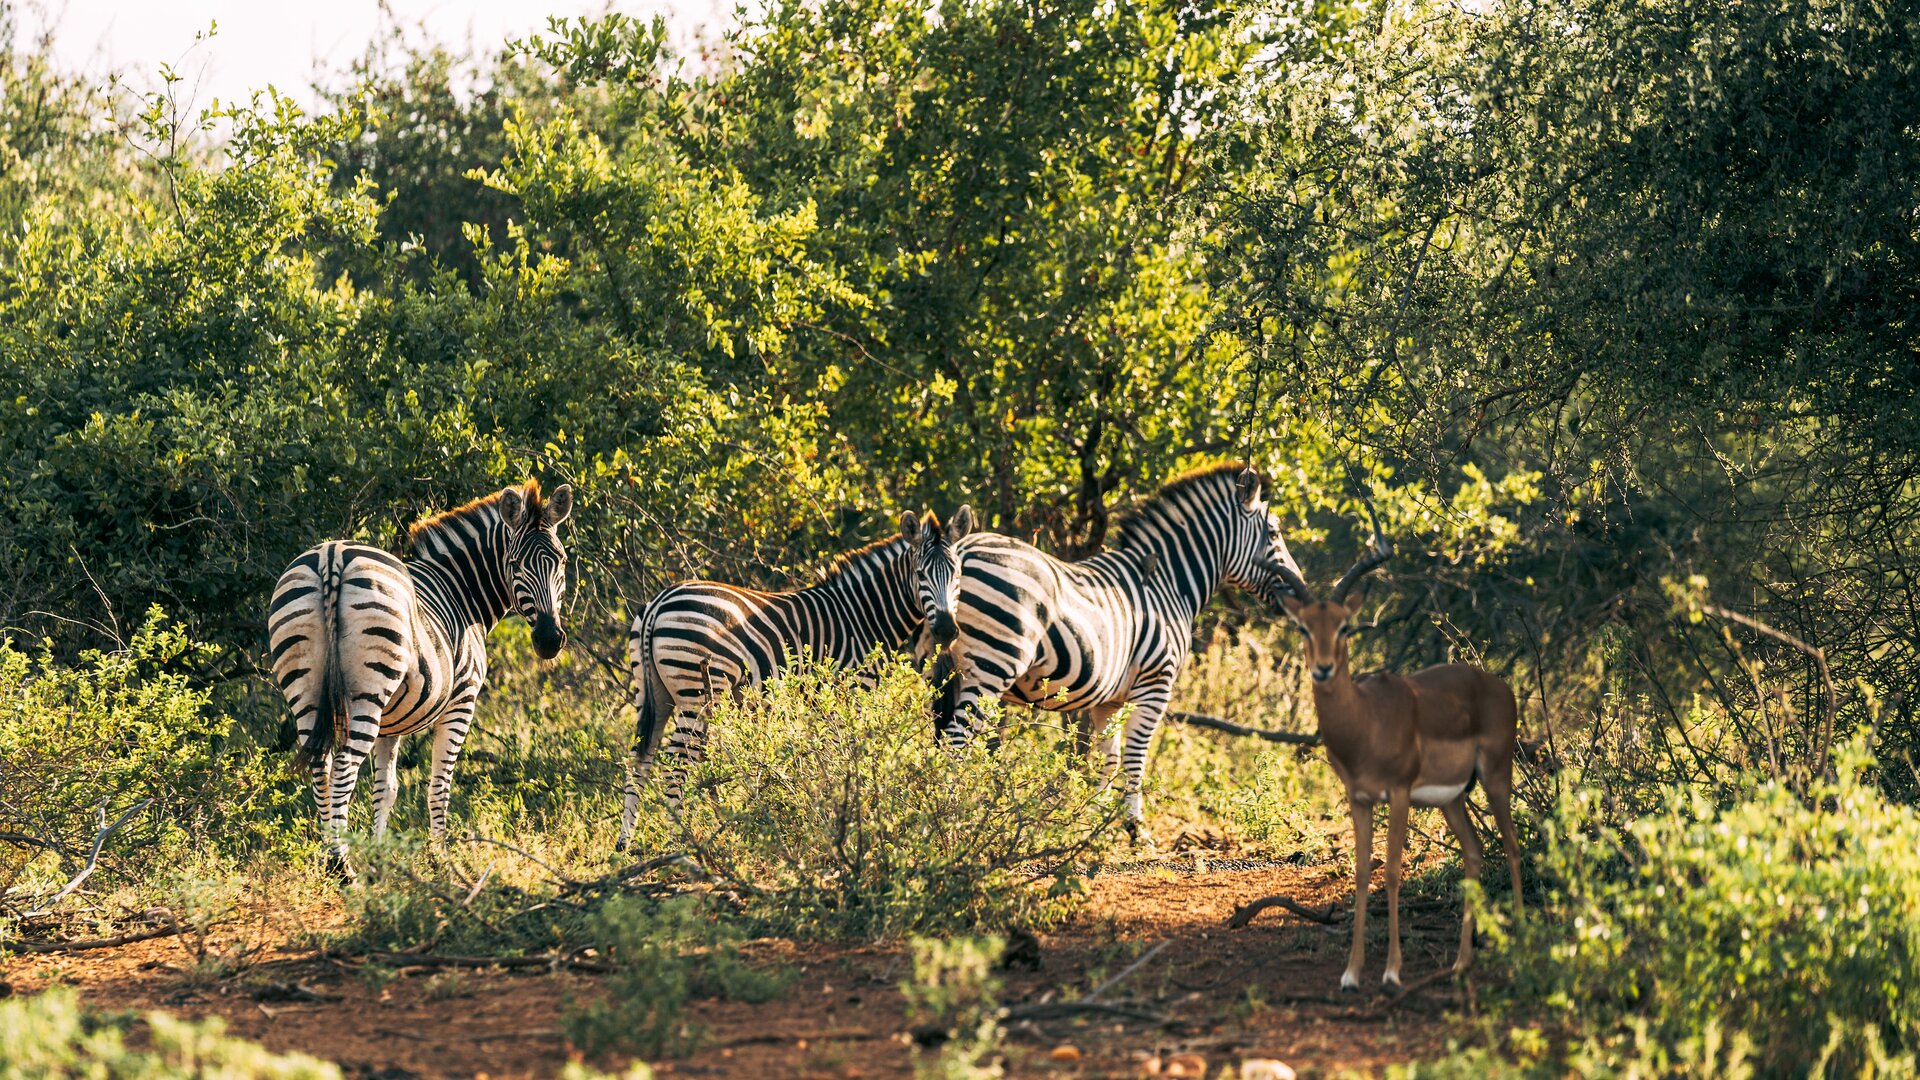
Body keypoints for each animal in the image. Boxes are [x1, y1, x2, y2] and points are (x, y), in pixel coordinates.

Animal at [266, 478, 572, 876]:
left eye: (561, 561)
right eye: (515, 563)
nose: (550, 640)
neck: (461, 590)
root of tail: (331, 558)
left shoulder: (390, 724)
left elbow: (387, 788)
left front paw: (379, 857)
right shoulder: (462, 702)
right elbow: (439, 785)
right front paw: (441, 857)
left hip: (305, 688)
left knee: (321, 766)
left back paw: (330, 857)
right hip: (367, 693)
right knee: (344, 769)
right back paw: (341, 866)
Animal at [618, 503, 975, 849]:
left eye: (958, 574)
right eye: (920, 574)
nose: (947, 630)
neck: (862, 615)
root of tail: (658, 602)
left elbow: (823, 759)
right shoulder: (849, 692)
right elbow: (844, 757)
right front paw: (843, 818)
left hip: (654, 693)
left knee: (639, 759)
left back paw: (627, 843)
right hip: (698, 695)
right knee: (675, 764)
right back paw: (681, 842)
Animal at [917, 457, 1305, 837]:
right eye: (1274, 534)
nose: (1299, 590)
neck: (1168, 583)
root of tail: (962, 549)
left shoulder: (1110, 699)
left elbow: (1109, 758)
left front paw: (1094, 822)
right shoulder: (1155, 684)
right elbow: (1136, 758)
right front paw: (1134, 828)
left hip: (941, 669)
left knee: (940, 739)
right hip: (991, 666)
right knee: (956, 742)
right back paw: (952, 822)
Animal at [1267, 503, 1520, 983]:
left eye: (1345, 627)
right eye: (1304, 628)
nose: (1323, 669)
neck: (1366, 723)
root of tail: (1499, 686)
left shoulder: (1399, 793)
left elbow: (1393, 872)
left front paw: (1391, 971)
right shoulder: (1360, 798)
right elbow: (1363, 871)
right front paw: (1351, 973)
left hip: (1496, 777)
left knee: (1512, 847)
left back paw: (1522, 943)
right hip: (1453, 798)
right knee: (1475, 853)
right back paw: (1461, 961)